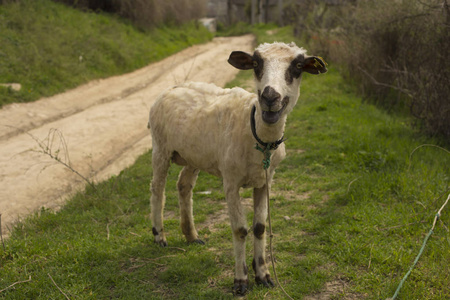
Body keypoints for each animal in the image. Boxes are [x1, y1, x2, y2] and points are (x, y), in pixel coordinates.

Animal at [148, 42, 326, 296]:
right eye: (256, 64)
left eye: (298, 66)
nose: (269, 97)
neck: (258, 137)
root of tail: (171, 87)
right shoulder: (230, 181)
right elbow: (240, 229)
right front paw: (241, 281)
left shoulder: (266, 181)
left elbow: (260, 227)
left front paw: (263, 275)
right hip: (160, 147)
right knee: (157, 189)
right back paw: (159, 236)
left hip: (194, 155)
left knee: (183, 185)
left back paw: (191, 235)